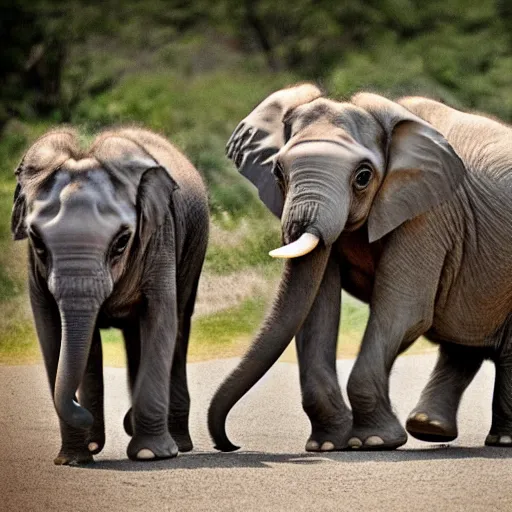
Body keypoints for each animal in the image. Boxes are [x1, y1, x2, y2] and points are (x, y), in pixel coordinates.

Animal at [11, 127, 208, 464]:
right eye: (36, 240)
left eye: (121, 242)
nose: (81, 411)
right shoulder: (34, 269)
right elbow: (51, 332)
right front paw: (74, 459)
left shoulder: (160, 235)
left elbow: (161, 319)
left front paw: (148, 454)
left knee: (179, 323)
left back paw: (178, 446)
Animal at [207, 83, 512, 452]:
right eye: (277, 172)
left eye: (363, 177)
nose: (230, 444)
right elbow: (316, 310)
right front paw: (327, 445)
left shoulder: (431, 213)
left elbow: (403, 311)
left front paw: (373, 442)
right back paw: (430, 429)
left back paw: (500, 438)